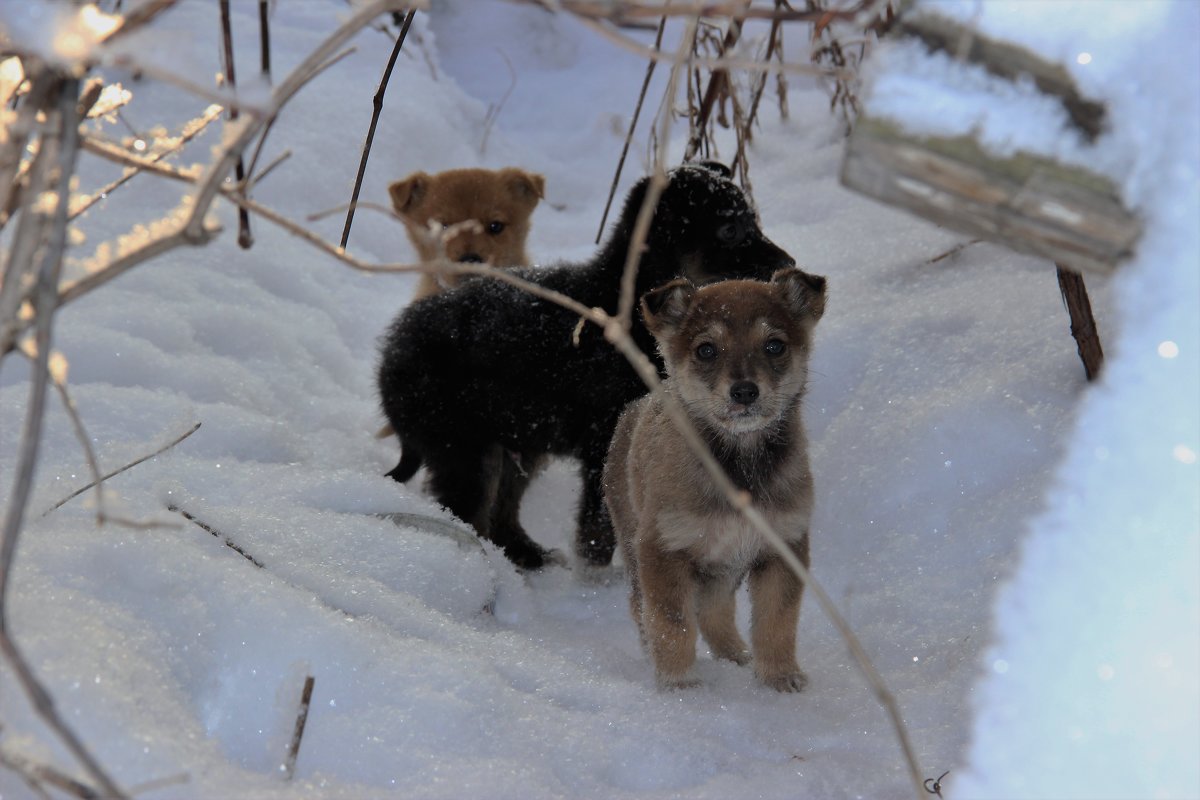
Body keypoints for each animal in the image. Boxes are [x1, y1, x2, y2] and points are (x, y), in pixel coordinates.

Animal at [604, 266, 830, 690]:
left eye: (774, 346)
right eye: (706, 350)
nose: (744, 392)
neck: (738, 465)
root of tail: (633, 409)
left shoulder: (781, 548)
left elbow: (776, 621)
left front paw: (779, 676)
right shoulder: (663, 549)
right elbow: (672, 623)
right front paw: (677, 682)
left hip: (722, 568)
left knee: (714, 612)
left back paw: (736, 656)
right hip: (637, 545)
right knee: (641, 608)